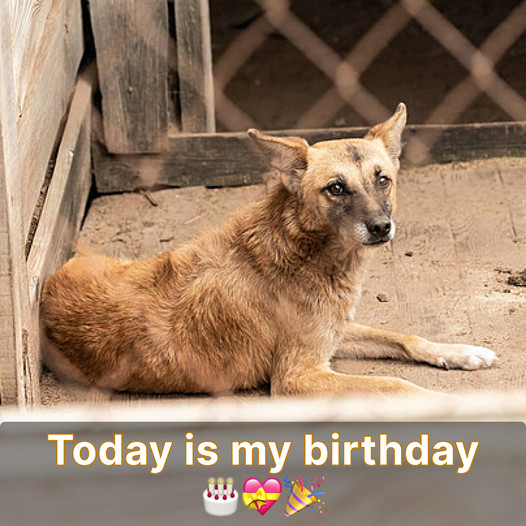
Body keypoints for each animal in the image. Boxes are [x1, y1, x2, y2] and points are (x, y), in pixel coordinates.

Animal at [41, 104, 500, 396]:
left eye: (382, 179)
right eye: (336, 188)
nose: (382, 228)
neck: (304, 249)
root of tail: (49, 285)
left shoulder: (334, 334)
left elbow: (405, 337)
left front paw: (461, 353)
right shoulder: (298, 375)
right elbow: (397, 384)